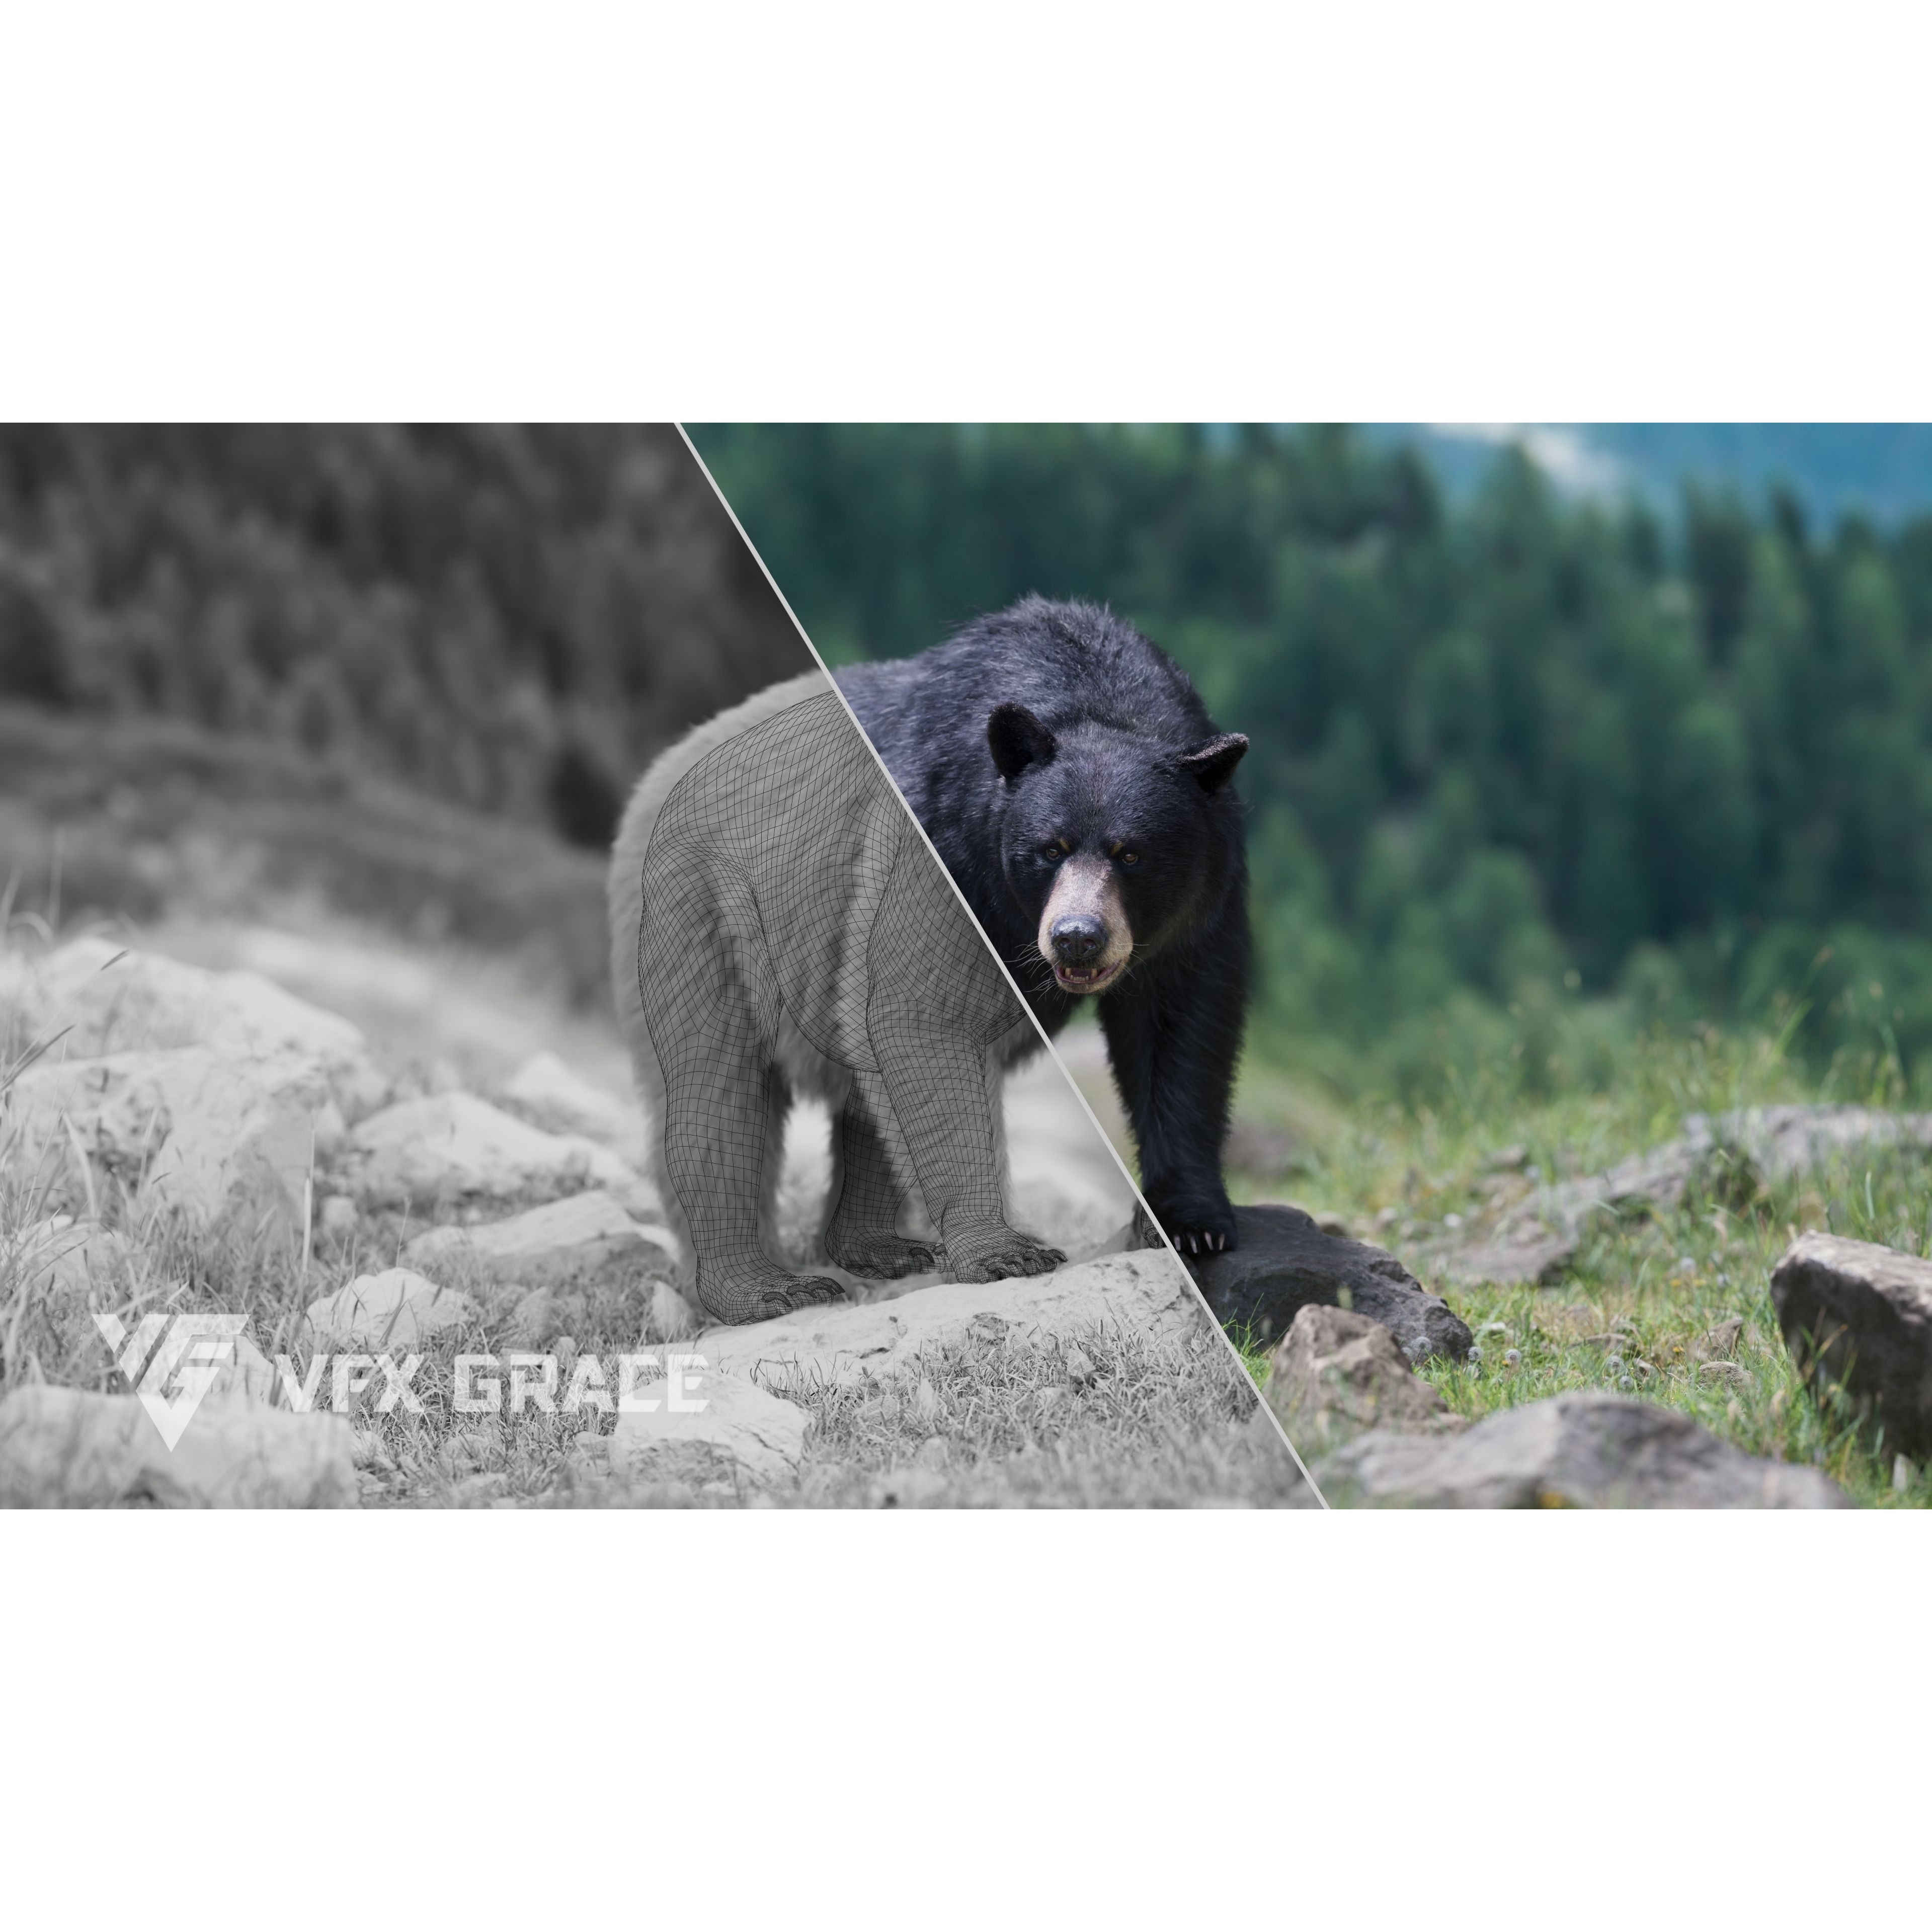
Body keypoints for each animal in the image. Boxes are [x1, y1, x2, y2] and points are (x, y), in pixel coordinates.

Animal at [608, 669, 1065, 1325]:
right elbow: (923, 1015)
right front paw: (1011, 1254)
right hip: (704, 902)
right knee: (719, 1088)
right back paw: (767, 1289)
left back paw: (882, 1250)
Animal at [838, 596, 1251, 1255]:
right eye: (1051, 848)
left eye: (1131, 854)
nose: (1078, 937)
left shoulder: (1206, 901)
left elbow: (1183, 1033)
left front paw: (1191, 1223)